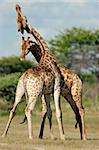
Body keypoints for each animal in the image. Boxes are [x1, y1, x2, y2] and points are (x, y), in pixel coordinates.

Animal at [15, 4, 86, 140]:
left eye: (22, 20)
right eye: (21, 46)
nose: (21, 58)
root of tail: (79, 78)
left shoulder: (51, 91)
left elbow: (50, 112)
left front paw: (47, 135)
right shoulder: (48, 92)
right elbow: (47, 112)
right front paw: (44, 135)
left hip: (76, 92)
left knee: (81, 110)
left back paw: (84, 137)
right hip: (68, 95)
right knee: (76, 111)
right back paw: (81, 136)